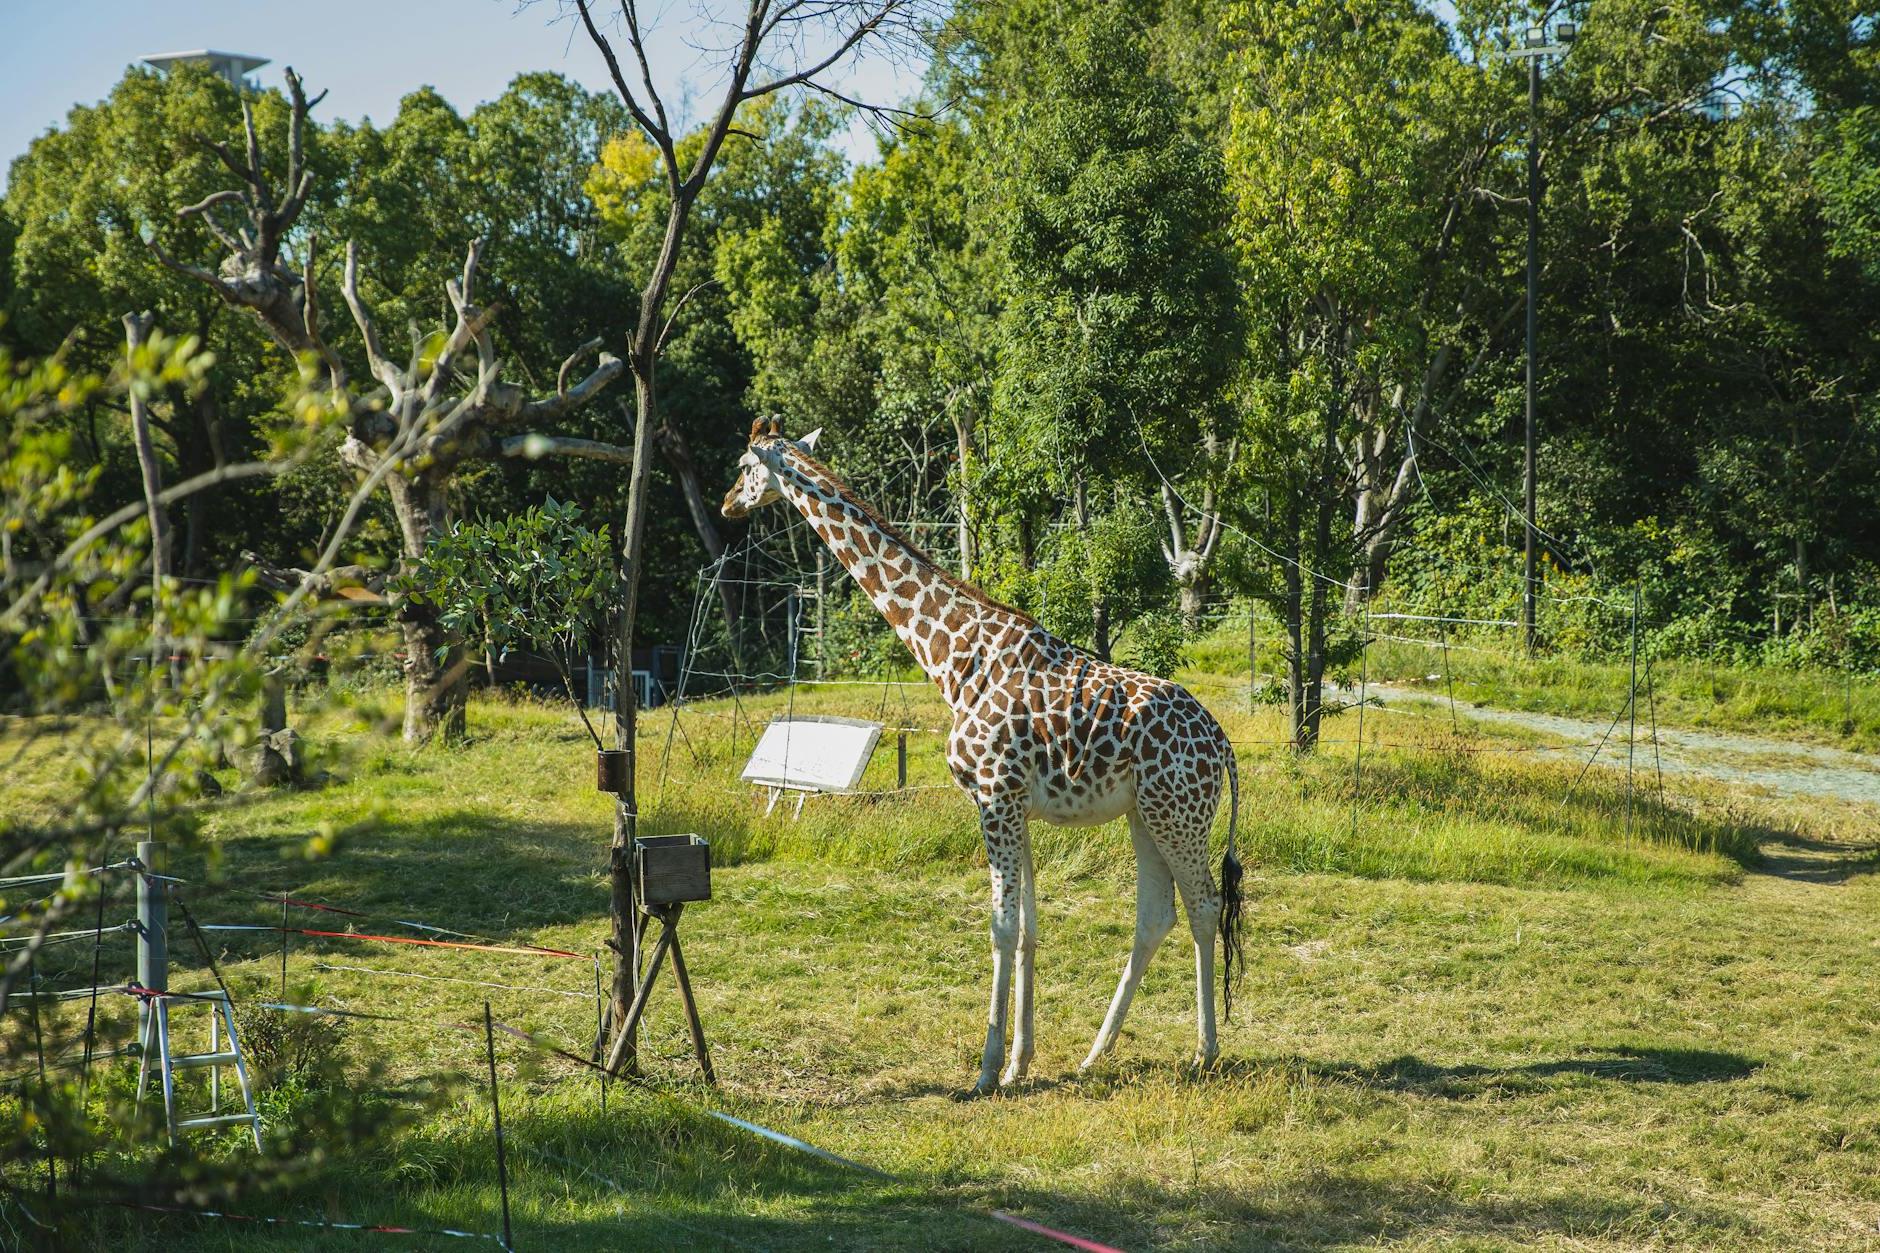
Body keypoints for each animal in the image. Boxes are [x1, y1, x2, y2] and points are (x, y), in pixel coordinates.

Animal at [721, 413, 1248, 1091]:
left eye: (745, 464)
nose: (728, 503)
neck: (952, 658)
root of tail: (1224, 745)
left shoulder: (994, 794)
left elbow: (1000, 925)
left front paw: (988, 1069)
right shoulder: (1014, 802)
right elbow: (1027, 929)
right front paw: (1022, 1061)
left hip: (1179, 813)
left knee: (1205, 905)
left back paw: (1204, 1052)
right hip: (1145, 813)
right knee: (1157, 915)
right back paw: (1095, 1053)